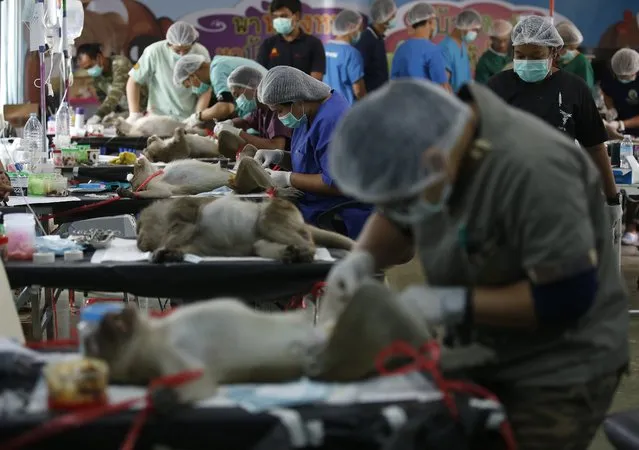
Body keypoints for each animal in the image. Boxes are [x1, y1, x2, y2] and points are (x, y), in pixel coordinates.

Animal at [86, 282, 496, 404]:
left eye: (105, 330)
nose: (117, 315)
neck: (151, 337)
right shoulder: (168, 359)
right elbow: (191, 388)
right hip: (355, 349)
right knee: (376, 305)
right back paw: (456, 356)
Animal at [138, 194, 356, 264]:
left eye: (139, 228)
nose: (139, 241)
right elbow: (186, 248)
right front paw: (170, 254)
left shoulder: (180, 210)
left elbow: (185, 226)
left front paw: (162, 249)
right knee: (258, 245)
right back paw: (289, 253)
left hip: (280, 210)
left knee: (267, 222)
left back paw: (305, 250)